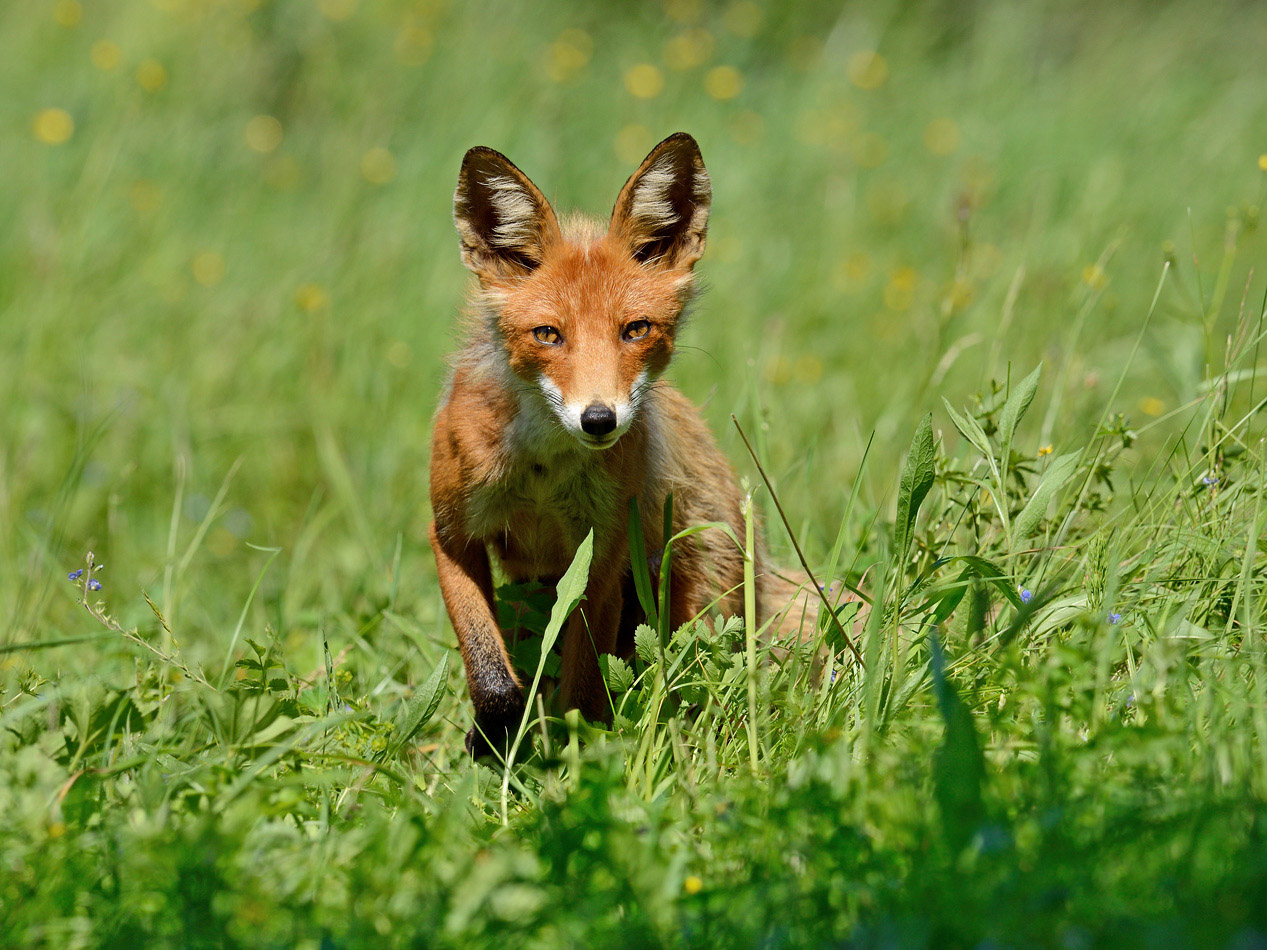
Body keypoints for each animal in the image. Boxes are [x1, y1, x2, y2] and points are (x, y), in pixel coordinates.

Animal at [433, 132, 810, 760]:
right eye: (548, 335)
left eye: (635, 330)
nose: (598, 420)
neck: (541, 471)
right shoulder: (451, 533)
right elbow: (490, 670)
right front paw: (495, 736)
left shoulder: (601, 558)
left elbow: (583, 691)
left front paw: (576, 756)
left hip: (691, 604)